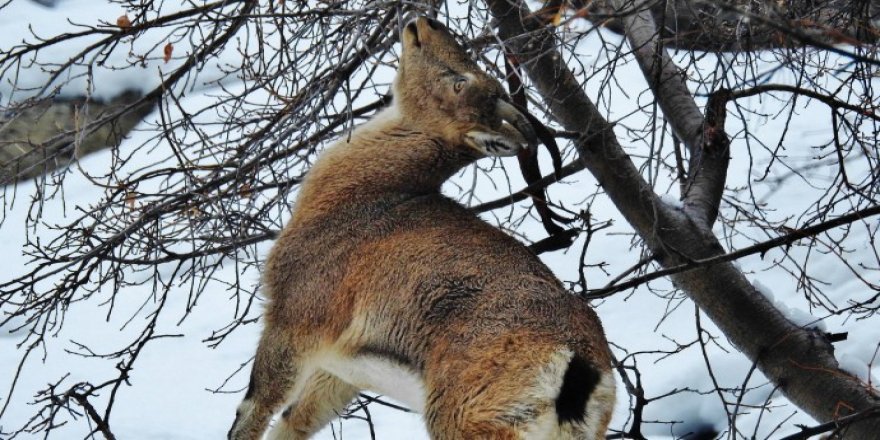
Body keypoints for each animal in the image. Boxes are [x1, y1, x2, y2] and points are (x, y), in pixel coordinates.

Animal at [227, 17, 616, 440]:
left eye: (460, 82)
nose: (425, 23)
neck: (366, 196)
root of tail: (576, 372)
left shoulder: (295, 317)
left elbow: (253, 410)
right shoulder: (340, 369)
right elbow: (295, 420)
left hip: (464, 420)